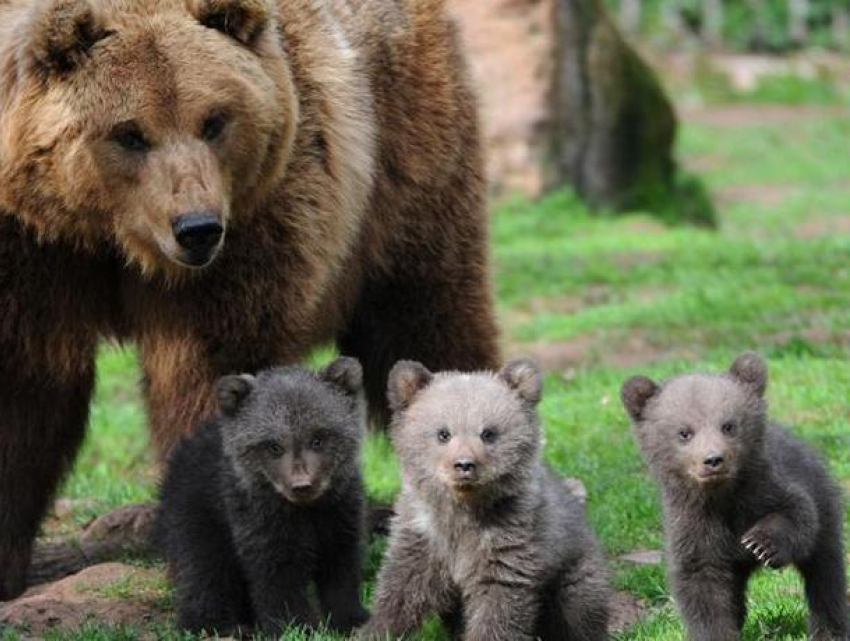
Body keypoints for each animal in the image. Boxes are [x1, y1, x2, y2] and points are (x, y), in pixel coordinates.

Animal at [0, 0, 496, 600]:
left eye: (214, 120)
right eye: (129, 133)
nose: (196, 228)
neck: (107, 235)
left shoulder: (254, 221)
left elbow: (212, 368)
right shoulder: (31, 248)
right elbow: (27, 384)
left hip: (405, 161)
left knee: (426, 317)